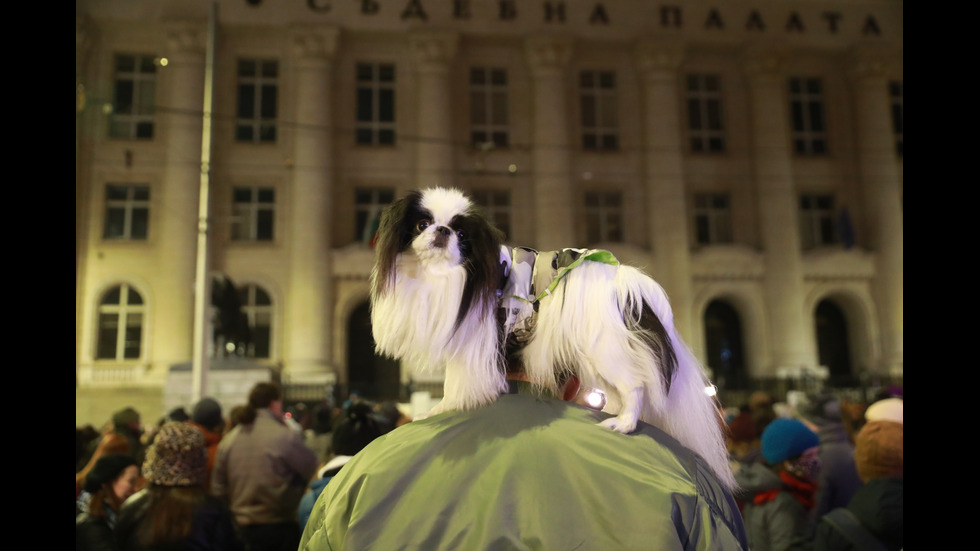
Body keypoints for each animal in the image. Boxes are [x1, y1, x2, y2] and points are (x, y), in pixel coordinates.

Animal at [370, 188, 736, 490]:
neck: (443, 277)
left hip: (605, 349)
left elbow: (454, 384)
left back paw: (624, 424)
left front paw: (441, 410)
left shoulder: (474, 343)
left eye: (461, 234)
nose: (442, 231)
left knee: (634, 387)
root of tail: (626, 283)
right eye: (422, 224)